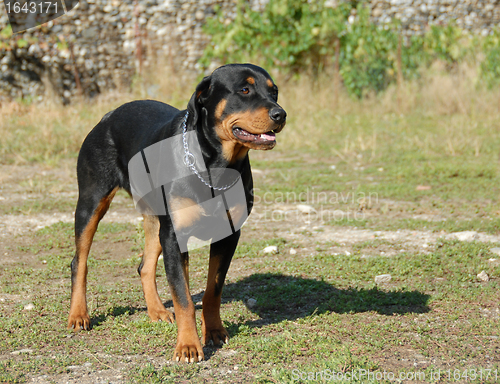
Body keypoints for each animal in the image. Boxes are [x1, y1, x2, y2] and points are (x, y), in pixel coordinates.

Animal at [67, 63, 286, 364]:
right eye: (244, 89)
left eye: (274, 91)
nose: (280, 114)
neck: (214, 166)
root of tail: (106, 117)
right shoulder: (173, 237)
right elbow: (183, 298)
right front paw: (188, 346)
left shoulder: (228, 235)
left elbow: (212, 291)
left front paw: (214, 331)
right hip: (92, 201)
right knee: (80, 261)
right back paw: (79, 314)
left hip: (155, 217)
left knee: (145, 265)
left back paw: (157, 311)